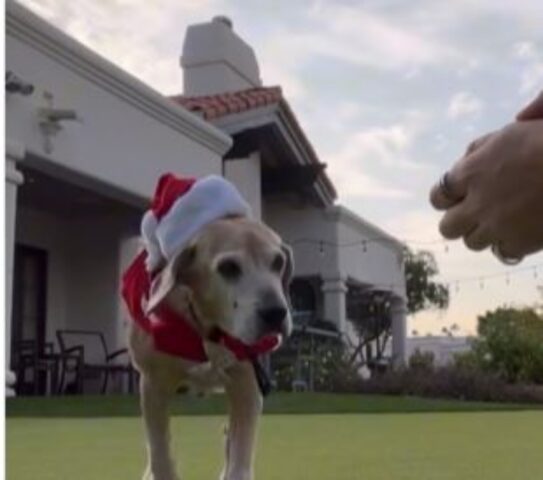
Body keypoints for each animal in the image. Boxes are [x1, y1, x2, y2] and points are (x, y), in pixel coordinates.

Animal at [126, 217, 294, 480]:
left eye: (278, 263)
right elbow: (160, 455)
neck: (208, 329)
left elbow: (238, 462)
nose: (276, 313)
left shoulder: (246, 386)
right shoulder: (153, 384)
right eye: (228, 267)